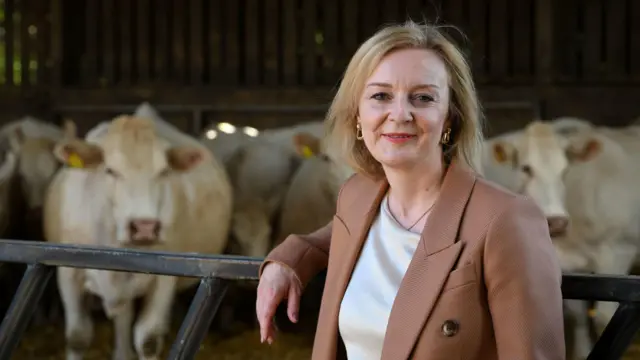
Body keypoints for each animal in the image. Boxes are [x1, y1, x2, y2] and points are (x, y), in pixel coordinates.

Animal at [45, 114, 235, 360]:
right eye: (110, 170)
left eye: (164, 171)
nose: (145, 227)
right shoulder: (67, 272)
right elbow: (78, 337)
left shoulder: (165, 279)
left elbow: (148, 340)